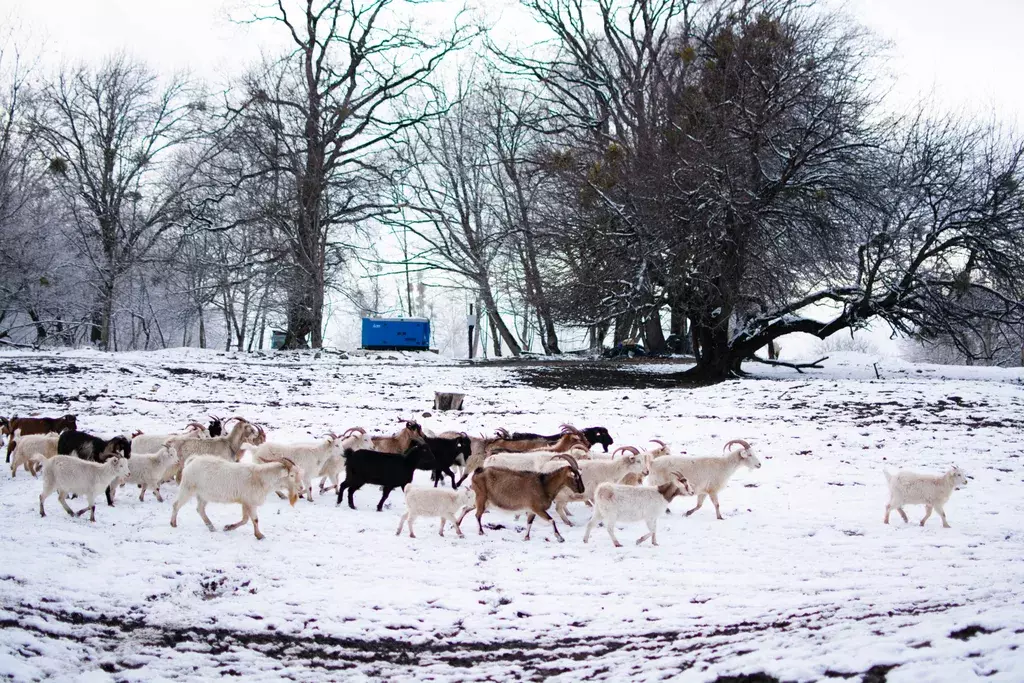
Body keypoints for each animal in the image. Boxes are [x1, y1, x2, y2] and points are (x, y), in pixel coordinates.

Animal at [167, 456, 301, 540]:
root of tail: (192, 461)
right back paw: (173, 523)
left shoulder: (245, 502)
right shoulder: (250, 502)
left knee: (200, 509)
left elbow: (245, 519)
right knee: (176, 504)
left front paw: (228, 527)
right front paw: (259, 535)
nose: (301, 488)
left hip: (203, 495)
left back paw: (211, 527)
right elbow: (255, 519)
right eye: (291, 475)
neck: (260, 478)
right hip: (187, 488)